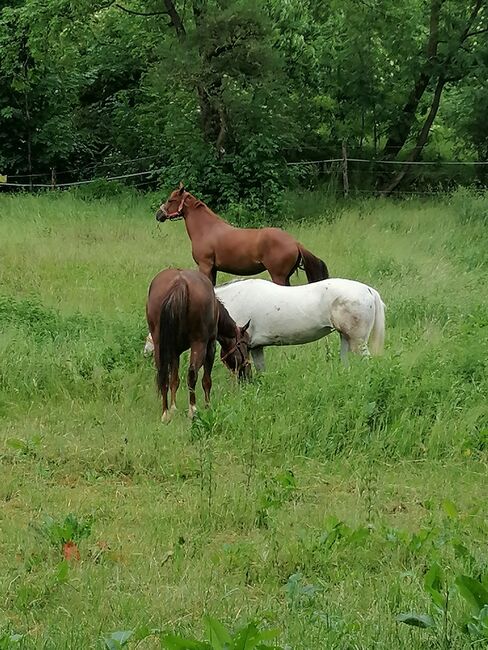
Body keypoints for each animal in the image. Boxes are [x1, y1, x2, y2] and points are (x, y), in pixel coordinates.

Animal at [146, 268, 251, 422]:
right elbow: (206, 380)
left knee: (163, 374)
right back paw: (192, 410)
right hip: (199, 343)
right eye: (247, 345)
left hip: (160, 344)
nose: (247, 371)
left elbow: (174, 380)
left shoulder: (174, 351)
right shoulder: (210, 345)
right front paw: (208, 406)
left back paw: (165, 413)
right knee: (192, 373)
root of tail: (179, 283)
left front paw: (173, 408)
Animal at [155, 184, 329, 286]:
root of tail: (295, 243)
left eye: (170, 200)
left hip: (278, 276)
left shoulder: (205, 266)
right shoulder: (213, 269)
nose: (158, 215)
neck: (207, 229)